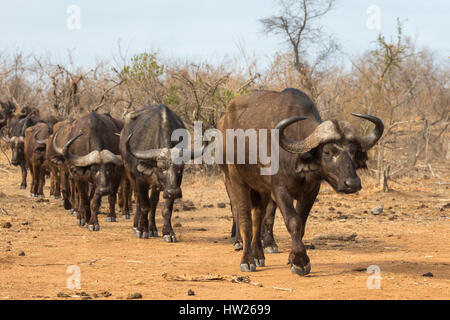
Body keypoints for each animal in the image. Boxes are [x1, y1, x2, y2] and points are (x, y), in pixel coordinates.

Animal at [218, 88, 384, 276]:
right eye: (327, 152)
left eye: (353, 151)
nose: (353, 183)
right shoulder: (279, 189)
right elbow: (293, 221)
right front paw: (299, 261)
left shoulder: (310, 191)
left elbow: (301, 223)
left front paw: (292, 258)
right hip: (234, 179)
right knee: (243, 217)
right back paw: (247, 258)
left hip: (260, 190)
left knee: (258, 217)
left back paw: (258, 255)